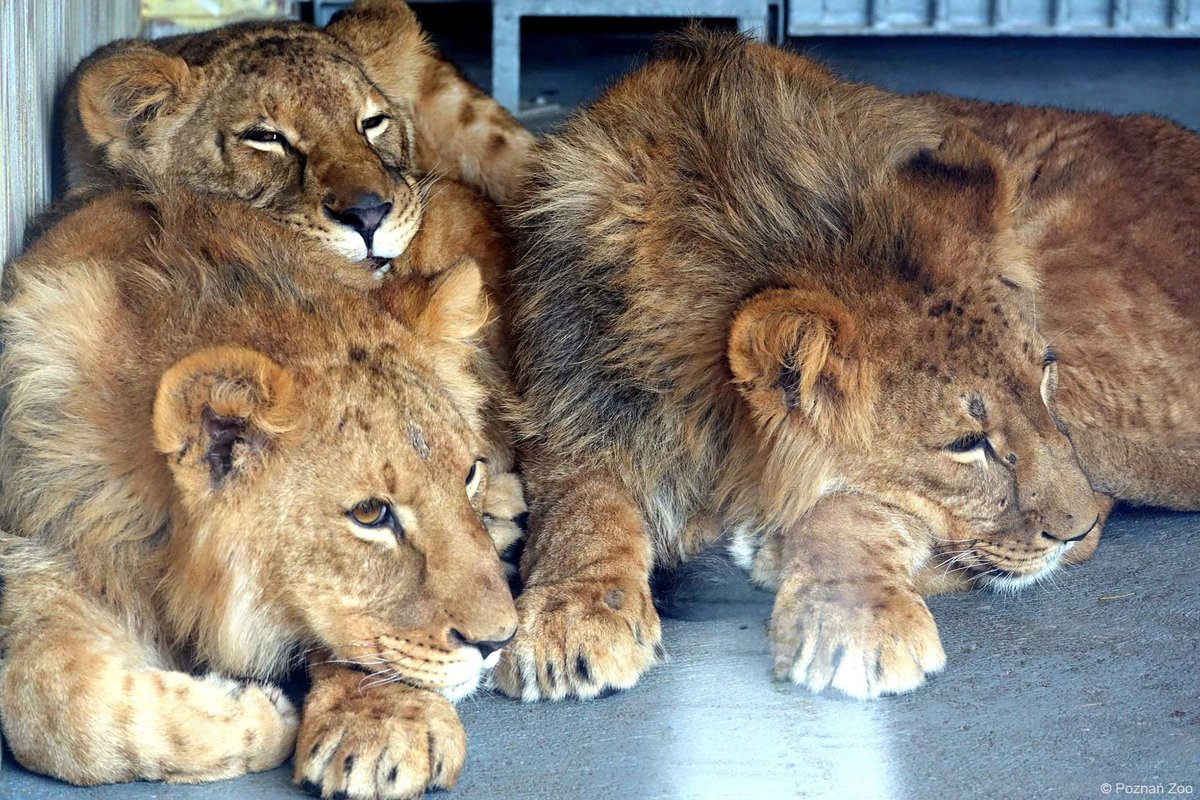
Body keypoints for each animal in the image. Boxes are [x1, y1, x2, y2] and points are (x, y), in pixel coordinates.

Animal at [0, 186, 518, 798]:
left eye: (468, 474)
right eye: (371, 514)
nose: (500, 642)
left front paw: (384, 724)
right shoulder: (39, 540)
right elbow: (58, 710)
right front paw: (262, 717)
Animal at [495, 29, 1200, 702]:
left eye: (1045, 376)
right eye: (965, 443)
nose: (1072, 527)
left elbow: (857, 508)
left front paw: (856, 612)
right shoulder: (568, 409)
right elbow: (579, 507)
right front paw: (570, 617)